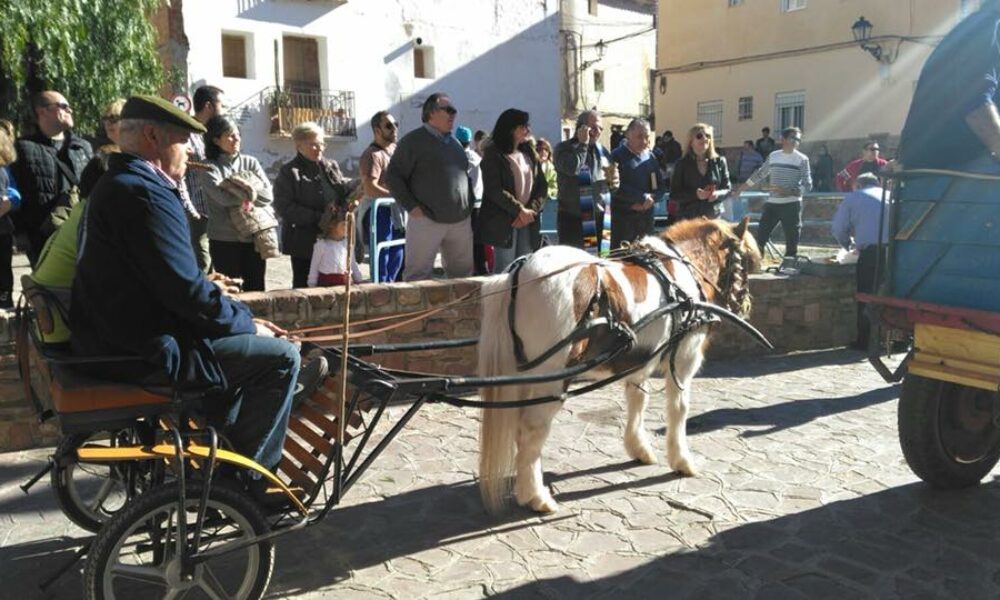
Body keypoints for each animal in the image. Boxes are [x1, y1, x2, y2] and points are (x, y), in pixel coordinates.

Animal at [476, 218, 756, 512]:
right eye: (746, 262)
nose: (746, 306)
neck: (680, 275)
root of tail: (519, 273)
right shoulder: (683, 359)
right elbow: (678, 408)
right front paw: (682, 460)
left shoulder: (639, 362)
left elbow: (638, 400)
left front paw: (638, 448)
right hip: (552, 376)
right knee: (532, 428)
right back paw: (537, 496)